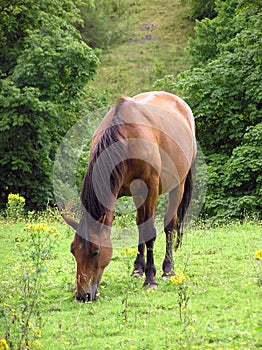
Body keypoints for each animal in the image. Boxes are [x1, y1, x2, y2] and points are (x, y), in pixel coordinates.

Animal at [59, 90, 196, 300]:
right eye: (73, 251)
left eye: (95, 252)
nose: (83, 295)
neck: (127, 139)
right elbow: (140, 227)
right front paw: (140, 270)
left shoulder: (150, 188)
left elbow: (150, 231)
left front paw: (150, 279)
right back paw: (138, 269)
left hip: (177, 186)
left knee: (169, 225)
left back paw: (168, 269)